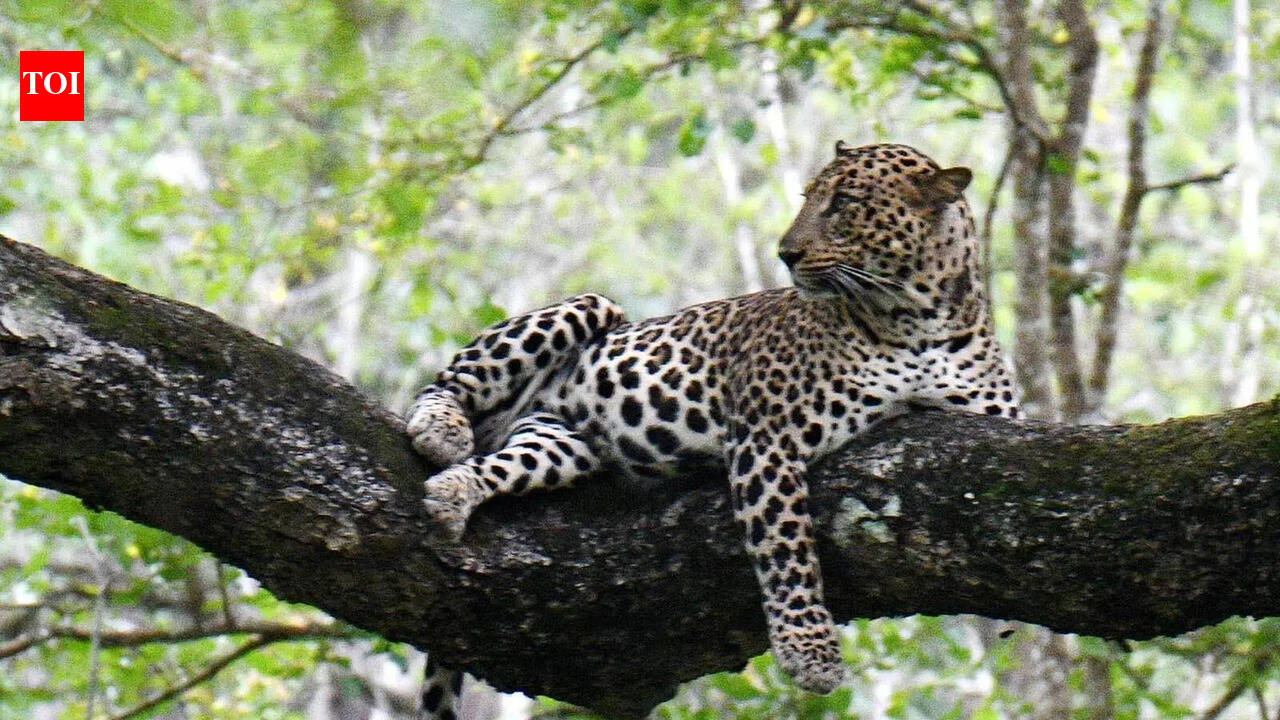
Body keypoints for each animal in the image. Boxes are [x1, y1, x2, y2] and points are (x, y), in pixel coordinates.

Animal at [406, 141, 1019, 720]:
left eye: (844, 203)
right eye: (808, 198)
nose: (786, 253)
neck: (919, 320)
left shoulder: (993, 424)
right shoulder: (766, 435)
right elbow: (786, 546)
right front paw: (810, 652)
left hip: (560, 442)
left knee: (501, 462)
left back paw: (454, 492)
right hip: (588, 308)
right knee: (448, 381)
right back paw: (440, 429)